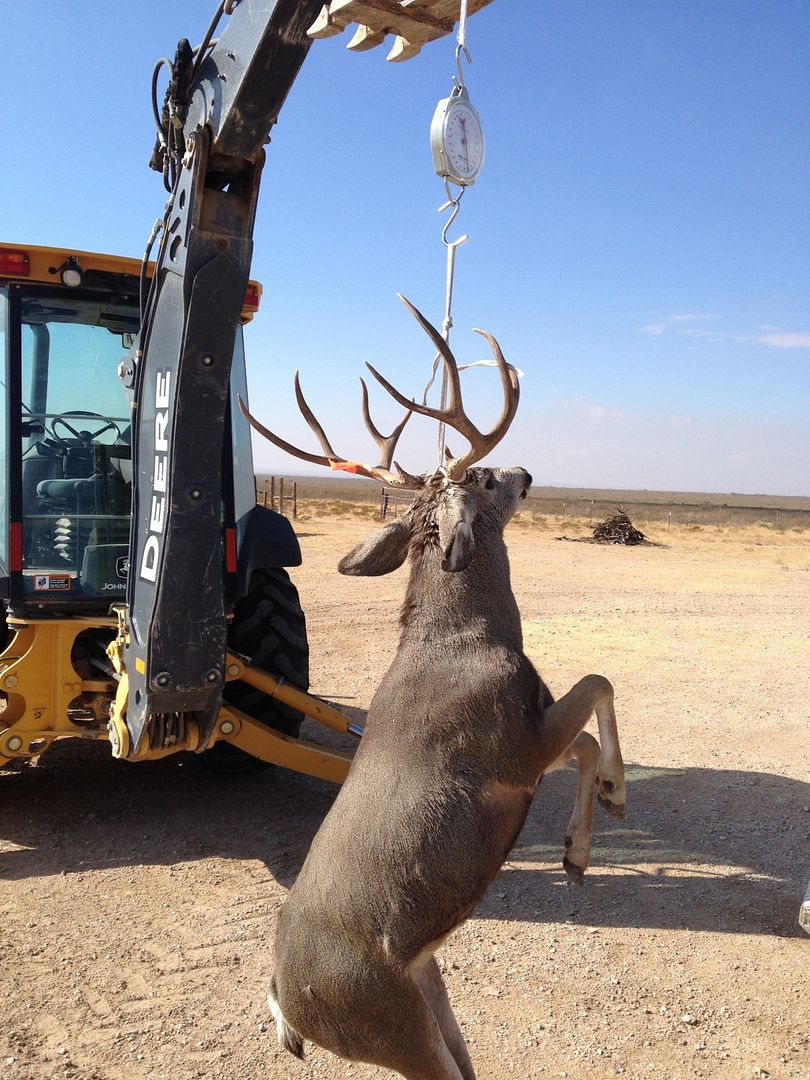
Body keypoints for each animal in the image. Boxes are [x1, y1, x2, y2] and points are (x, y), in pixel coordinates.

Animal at [239, 296, 626, 1080]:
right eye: (481, 481)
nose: (524, 468)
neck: (464, 640)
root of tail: (282, 1001)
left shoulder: (528, 742)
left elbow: (583, 737)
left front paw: (580, 846)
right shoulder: (510, 747)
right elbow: (597, 686)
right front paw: (608, 804)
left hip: (434, 998)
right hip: (392, 1026)